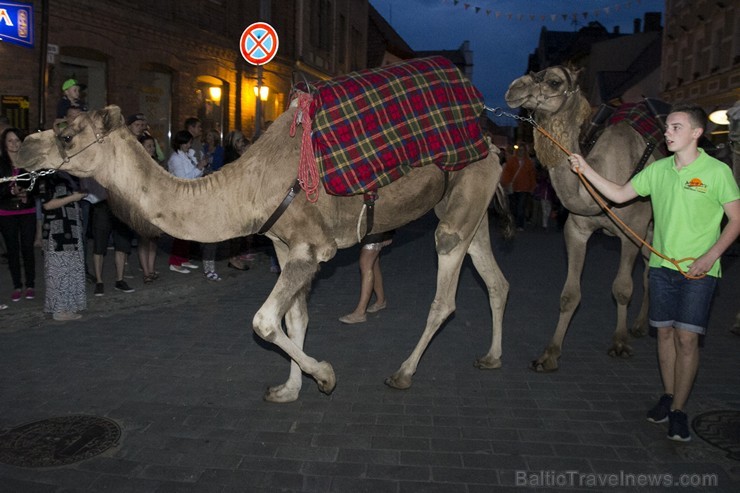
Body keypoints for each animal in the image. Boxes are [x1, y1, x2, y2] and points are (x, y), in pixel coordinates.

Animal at [20, 105, 512, 402]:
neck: (246, 189)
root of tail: (493, 146)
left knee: (445, 294)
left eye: (66, 135)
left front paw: (325, 376)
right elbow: (294, 320)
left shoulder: (312, 249)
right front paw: (289, 389)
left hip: (459, 206)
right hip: (472, 208)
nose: (21, 146)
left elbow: (263, 321)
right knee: (495, 280)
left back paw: (403, 374)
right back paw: (492, 357)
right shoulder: (284, 246)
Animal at [502, 67, 652, 370]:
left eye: (554, 81)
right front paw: (549, 354)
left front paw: (619, 344)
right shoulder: (576, 229)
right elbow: (569, 295)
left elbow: (622, 288)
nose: (513, 89)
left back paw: (641, 327)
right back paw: (641, 325)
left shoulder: (633, 231)